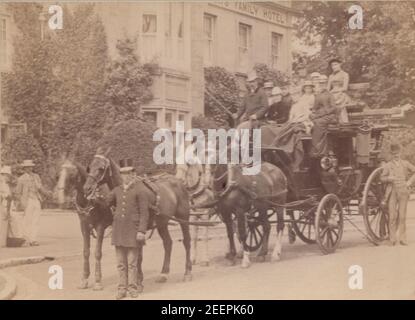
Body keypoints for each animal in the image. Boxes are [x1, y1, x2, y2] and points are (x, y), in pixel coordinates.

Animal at [57, 158, 113, 290]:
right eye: (58, 174)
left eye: (71, 174)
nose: (61, 198)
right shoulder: (84, 226)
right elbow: (86, 252)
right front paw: (84, 279)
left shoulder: (100, 226)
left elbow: (97, 253)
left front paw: (97, 281)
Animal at [83, 149, 193, 282]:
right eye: (89, 167)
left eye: (101, 168)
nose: (87, 189)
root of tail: (178, 181)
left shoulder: (139, 230)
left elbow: (138, 255)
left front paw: (138, 278)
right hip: (162, 223)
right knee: (168, 243)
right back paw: (164, 273)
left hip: (184, 218)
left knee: (186, 241)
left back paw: (187, 272)